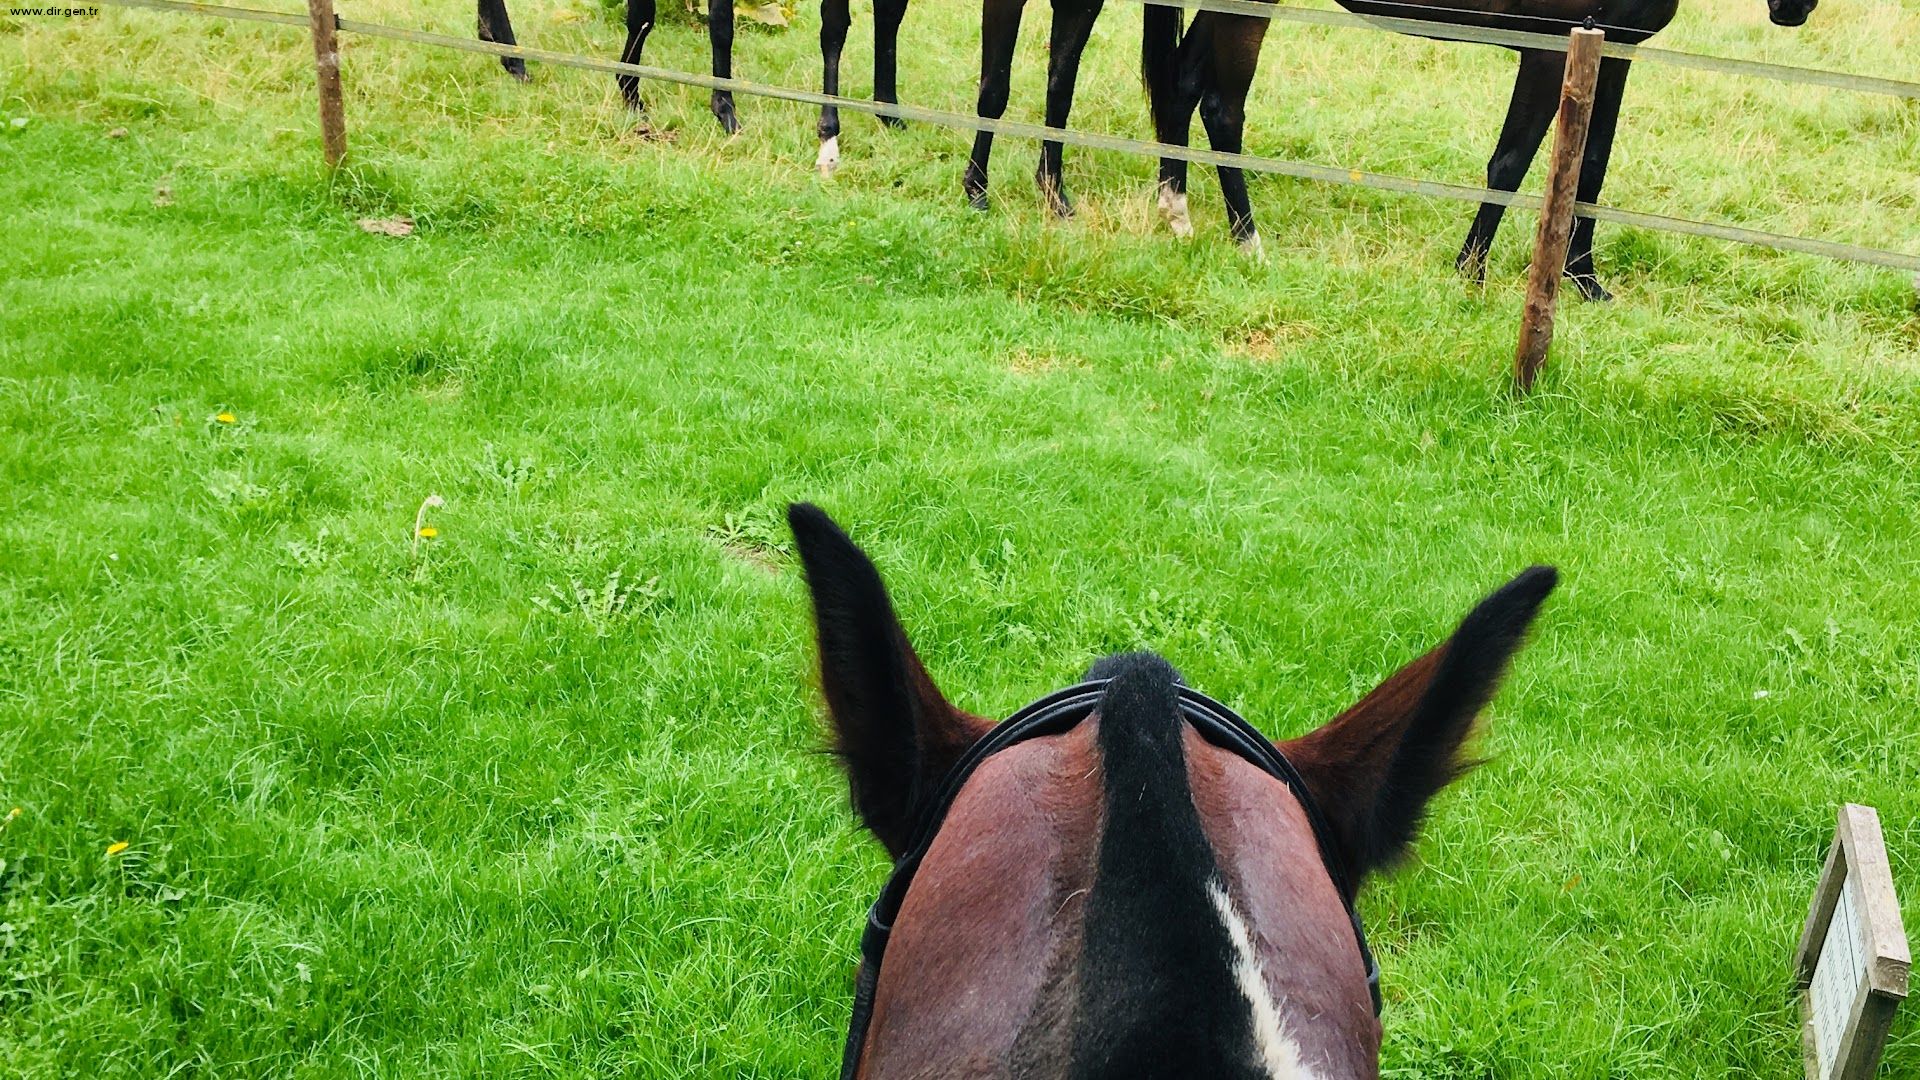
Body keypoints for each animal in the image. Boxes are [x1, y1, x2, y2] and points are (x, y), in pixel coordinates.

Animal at [1144, 0, 1820, 294]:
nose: (1795, 10)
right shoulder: (1549, 54)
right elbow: (1512, 163)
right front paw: (1471, 275)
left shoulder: (1615, 52)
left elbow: (1592, 167)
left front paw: (1583, 280)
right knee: (1221, 108)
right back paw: (1248, 241)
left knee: (1181, 88)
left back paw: (1179, 216)